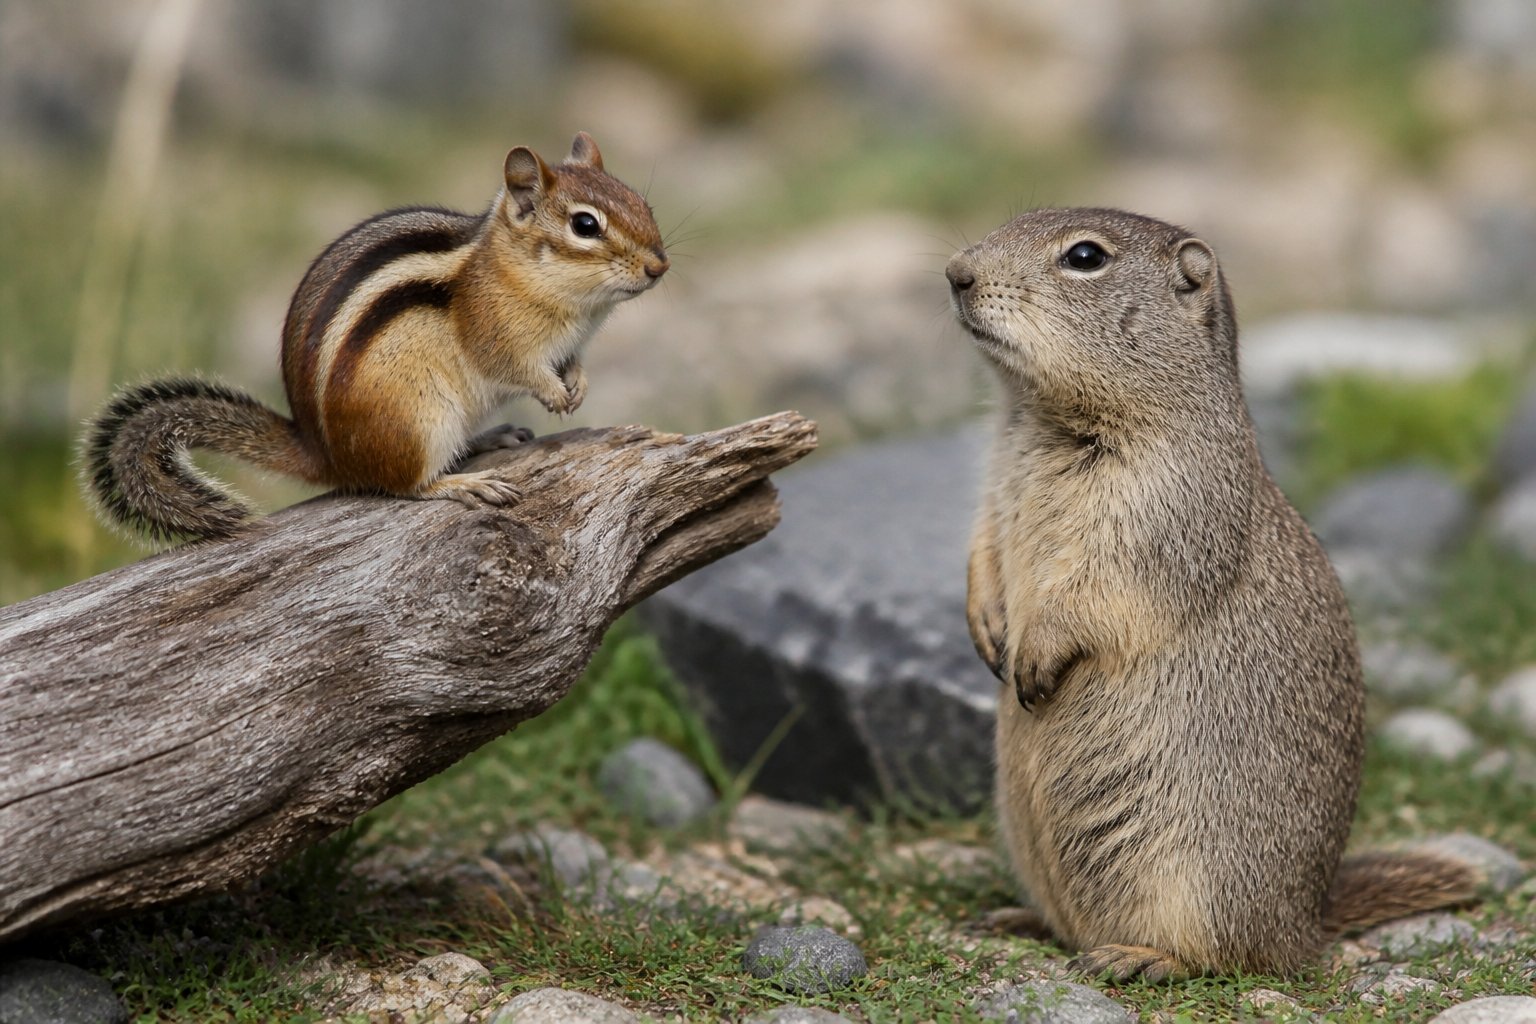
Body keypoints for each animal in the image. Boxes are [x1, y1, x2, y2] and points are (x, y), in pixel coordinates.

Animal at [82, 131, 668, 542]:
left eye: (644, 205)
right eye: (585, 226)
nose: (659, 267)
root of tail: (325, 455)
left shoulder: (572, 343)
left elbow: (572, 364)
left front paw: (577, 385)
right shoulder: (494, 332)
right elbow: (515, 368)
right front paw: (552, 393)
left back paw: (489, 439)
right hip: (418, 419)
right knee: (405, 486)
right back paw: (461, 482)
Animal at [946, 207, 1482, 981]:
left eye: (1085, 257)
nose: (955, 272)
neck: (1039, 419)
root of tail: (1305, 925)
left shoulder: (1167, 501)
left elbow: (1100, 581)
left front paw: (1034, 657)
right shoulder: (994, 483)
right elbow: (982, 543)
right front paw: (986, 630)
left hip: (1195, 881)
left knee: (1228, 957)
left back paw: (1139, 958)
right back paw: (1019, 919)